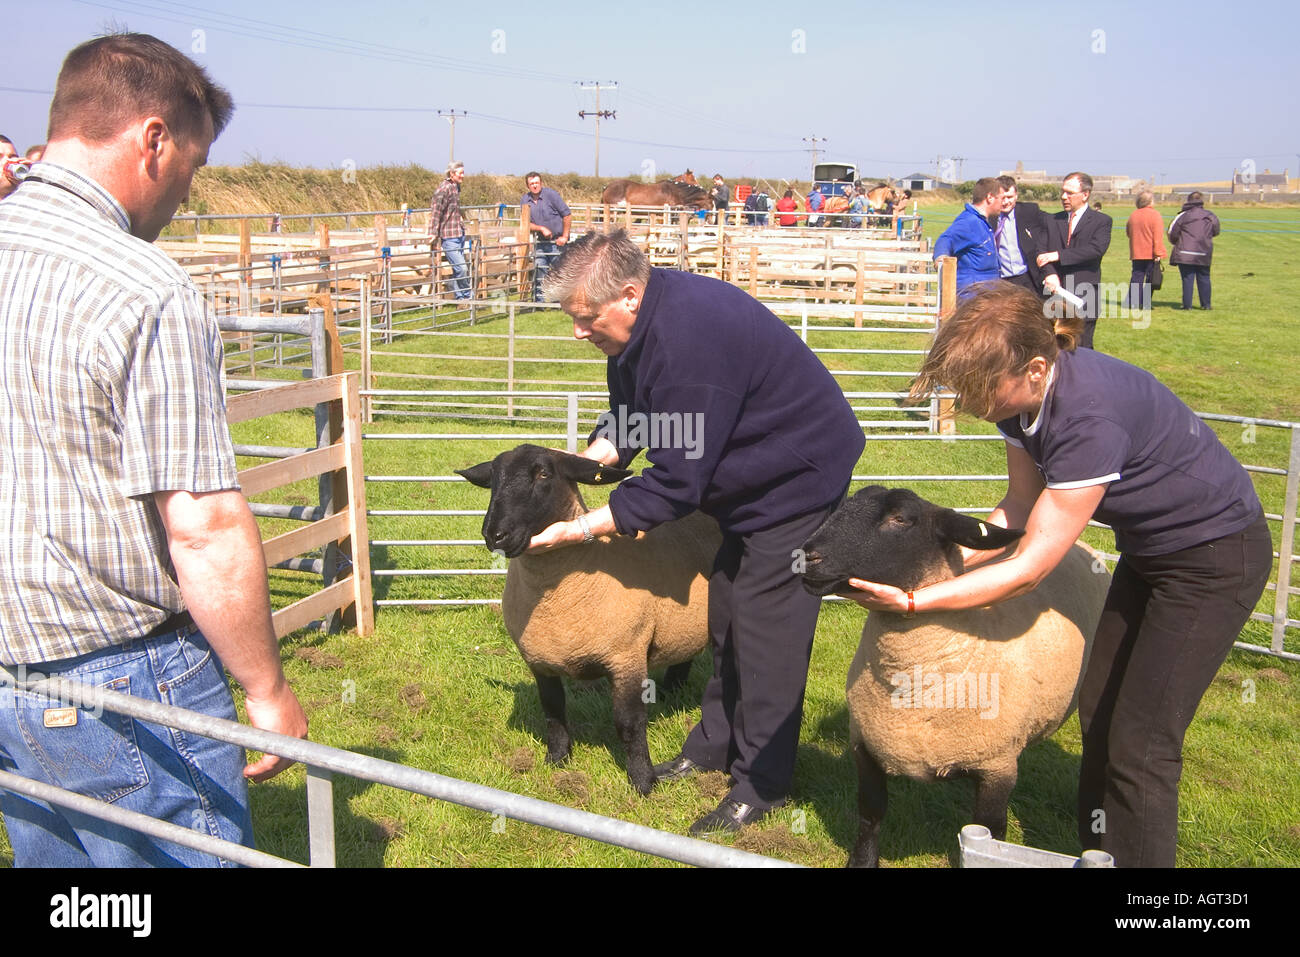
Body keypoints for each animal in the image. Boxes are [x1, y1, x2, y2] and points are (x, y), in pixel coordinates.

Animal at [456, 444, 721, 795]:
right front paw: (557, 760)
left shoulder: (626, 657)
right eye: (493, 478)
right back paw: (671, 691)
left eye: (544, 474)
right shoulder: (539, 661)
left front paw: (643, 782)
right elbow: (553, 711)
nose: (495, 535)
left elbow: (629, 723)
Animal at [799, 485, 1110, 867]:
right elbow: (870, 816)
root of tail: (1083, 545)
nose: (807, 556)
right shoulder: (865, 747)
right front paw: (863, 862)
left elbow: (992, 835)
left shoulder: (996, 767)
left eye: (900, 518)